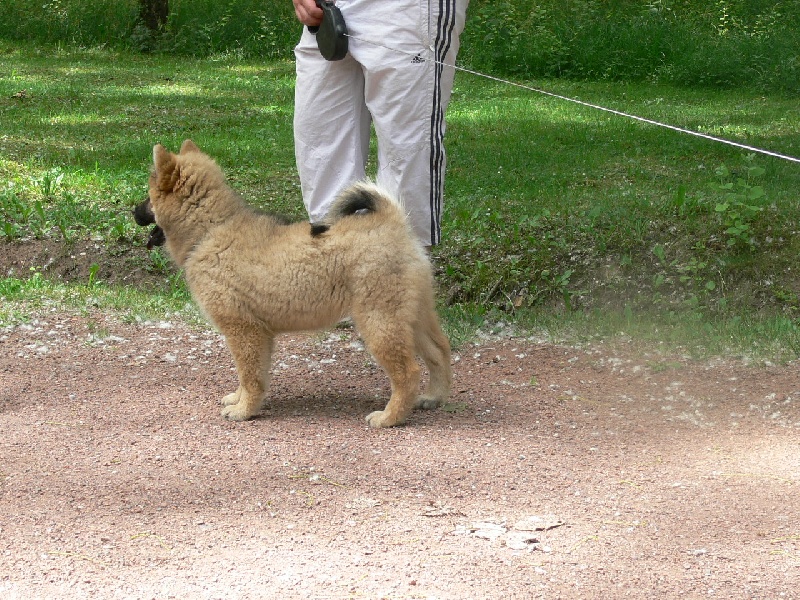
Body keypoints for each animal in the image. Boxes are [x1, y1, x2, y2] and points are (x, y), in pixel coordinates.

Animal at [142, 141, 450, 426]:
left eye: (148, 197)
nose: (134, 211)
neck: (212, 230)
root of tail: (394, 223)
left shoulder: (243, 330)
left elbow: (250, 375)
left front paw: (244, 411)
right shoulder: (258, 333)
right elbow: (251, 376)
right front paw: (239, 400)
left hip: (380, 320)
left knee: (408, 372)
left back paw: (389, 417)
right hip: (412, 315)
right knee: (439, 351)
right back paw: (433, 397)